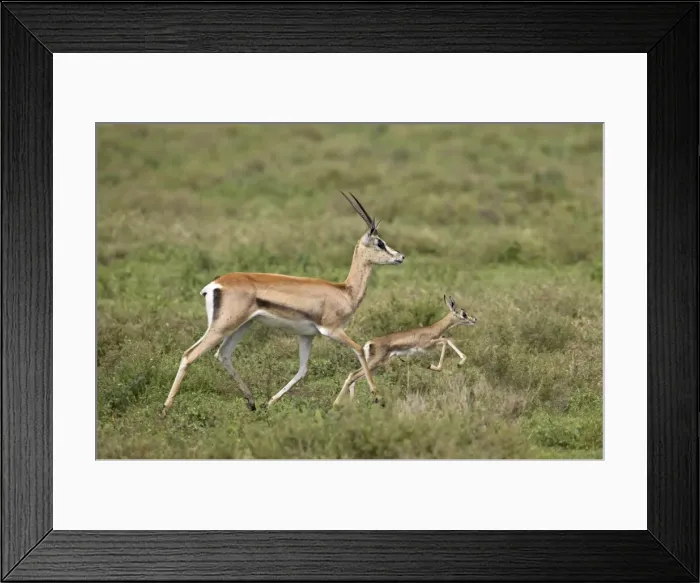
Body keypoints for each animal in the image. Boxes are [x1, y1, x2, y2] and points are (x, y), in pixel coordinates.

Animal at [162, 192, 405, 415]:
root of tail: (215, 284)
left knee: (223, 355)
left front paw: (270, 402)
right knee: (189, 354)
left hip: (242, 326)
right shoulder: (332, 330)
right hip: (223, 327)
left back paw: (252, 402)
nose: (400, 257)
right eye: (380, 243)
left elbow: (302, 370)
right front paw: (378, 397)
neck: (345, 291)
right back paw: (166, 408)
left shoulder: (306, 335)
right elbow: (359, 350)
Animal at [332, 294, 478, 407]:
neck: (433, 329)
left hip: (373, 365)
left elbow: (447, 340)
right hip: (375, 363)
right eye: (464, 313)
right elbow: (445, 341)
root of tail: (369, 343)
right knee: (352, 376)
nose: (474, 319)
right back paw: (336, 405)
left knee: (354, 377)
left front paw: (460, 362)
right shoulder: (428, 344)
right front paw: (433, 367)